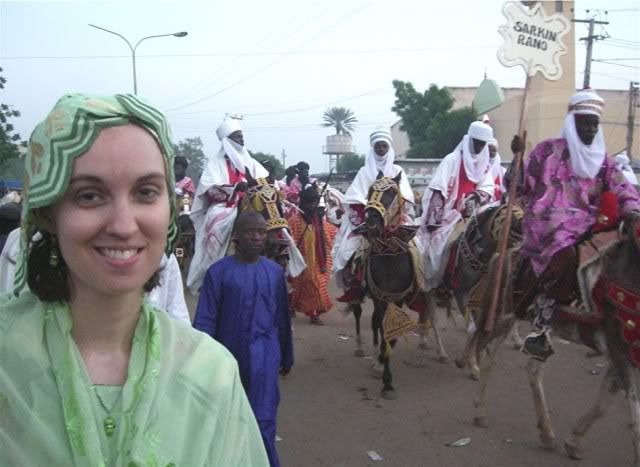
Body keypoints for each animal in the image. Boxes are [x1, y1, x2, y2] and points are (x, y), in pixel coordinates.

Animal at [468, 221, 640, 466]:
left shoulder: (624, 353)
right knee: (488, 358)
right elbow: (634, 419)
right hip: (506, 314)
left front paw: (574, 442)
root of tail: (506, 253)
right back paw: (480, 412)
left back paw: (547, 433)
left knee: (532, 369)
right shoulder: (619, 347)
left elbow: (603, 404)